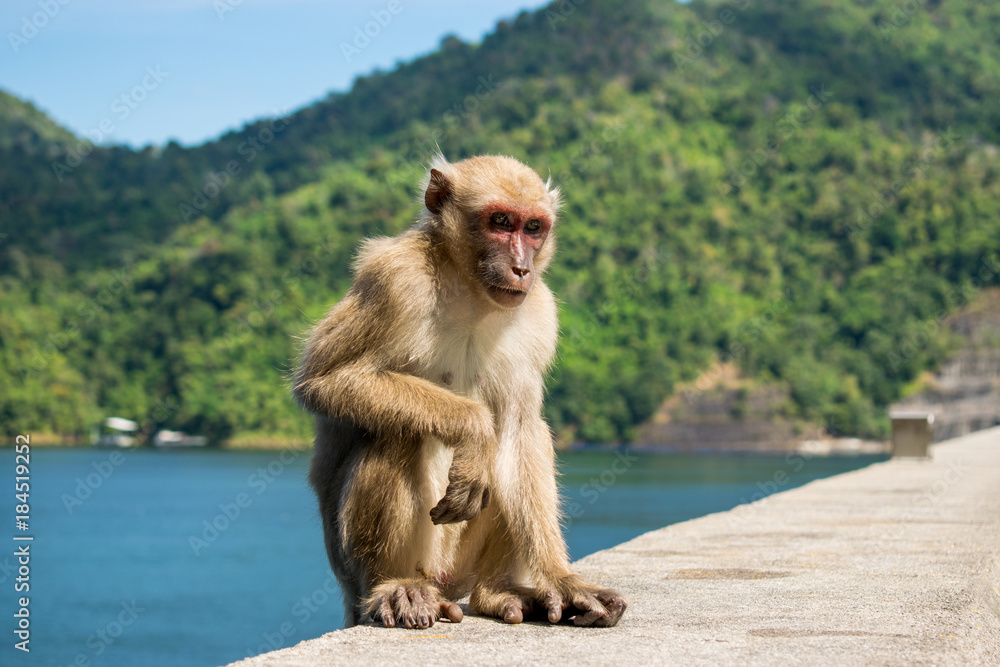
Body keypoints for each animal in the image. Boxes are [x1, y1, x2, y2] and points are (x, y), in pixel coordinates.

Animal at [293, 154, 627, 630]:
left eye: (533, 227)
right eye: (500, 221)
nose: (522, 267)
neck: (470, 291)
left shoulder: (540, 312)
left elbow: (521, 431)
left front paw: (560, 579)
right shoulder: (394, 278)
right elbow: (326, 381)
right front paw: (473, 428)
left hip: (462, 564)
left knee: (515, 442)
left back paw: (496, 592)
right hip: (367, 564)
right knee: (397, 434)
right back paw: (396, 586)